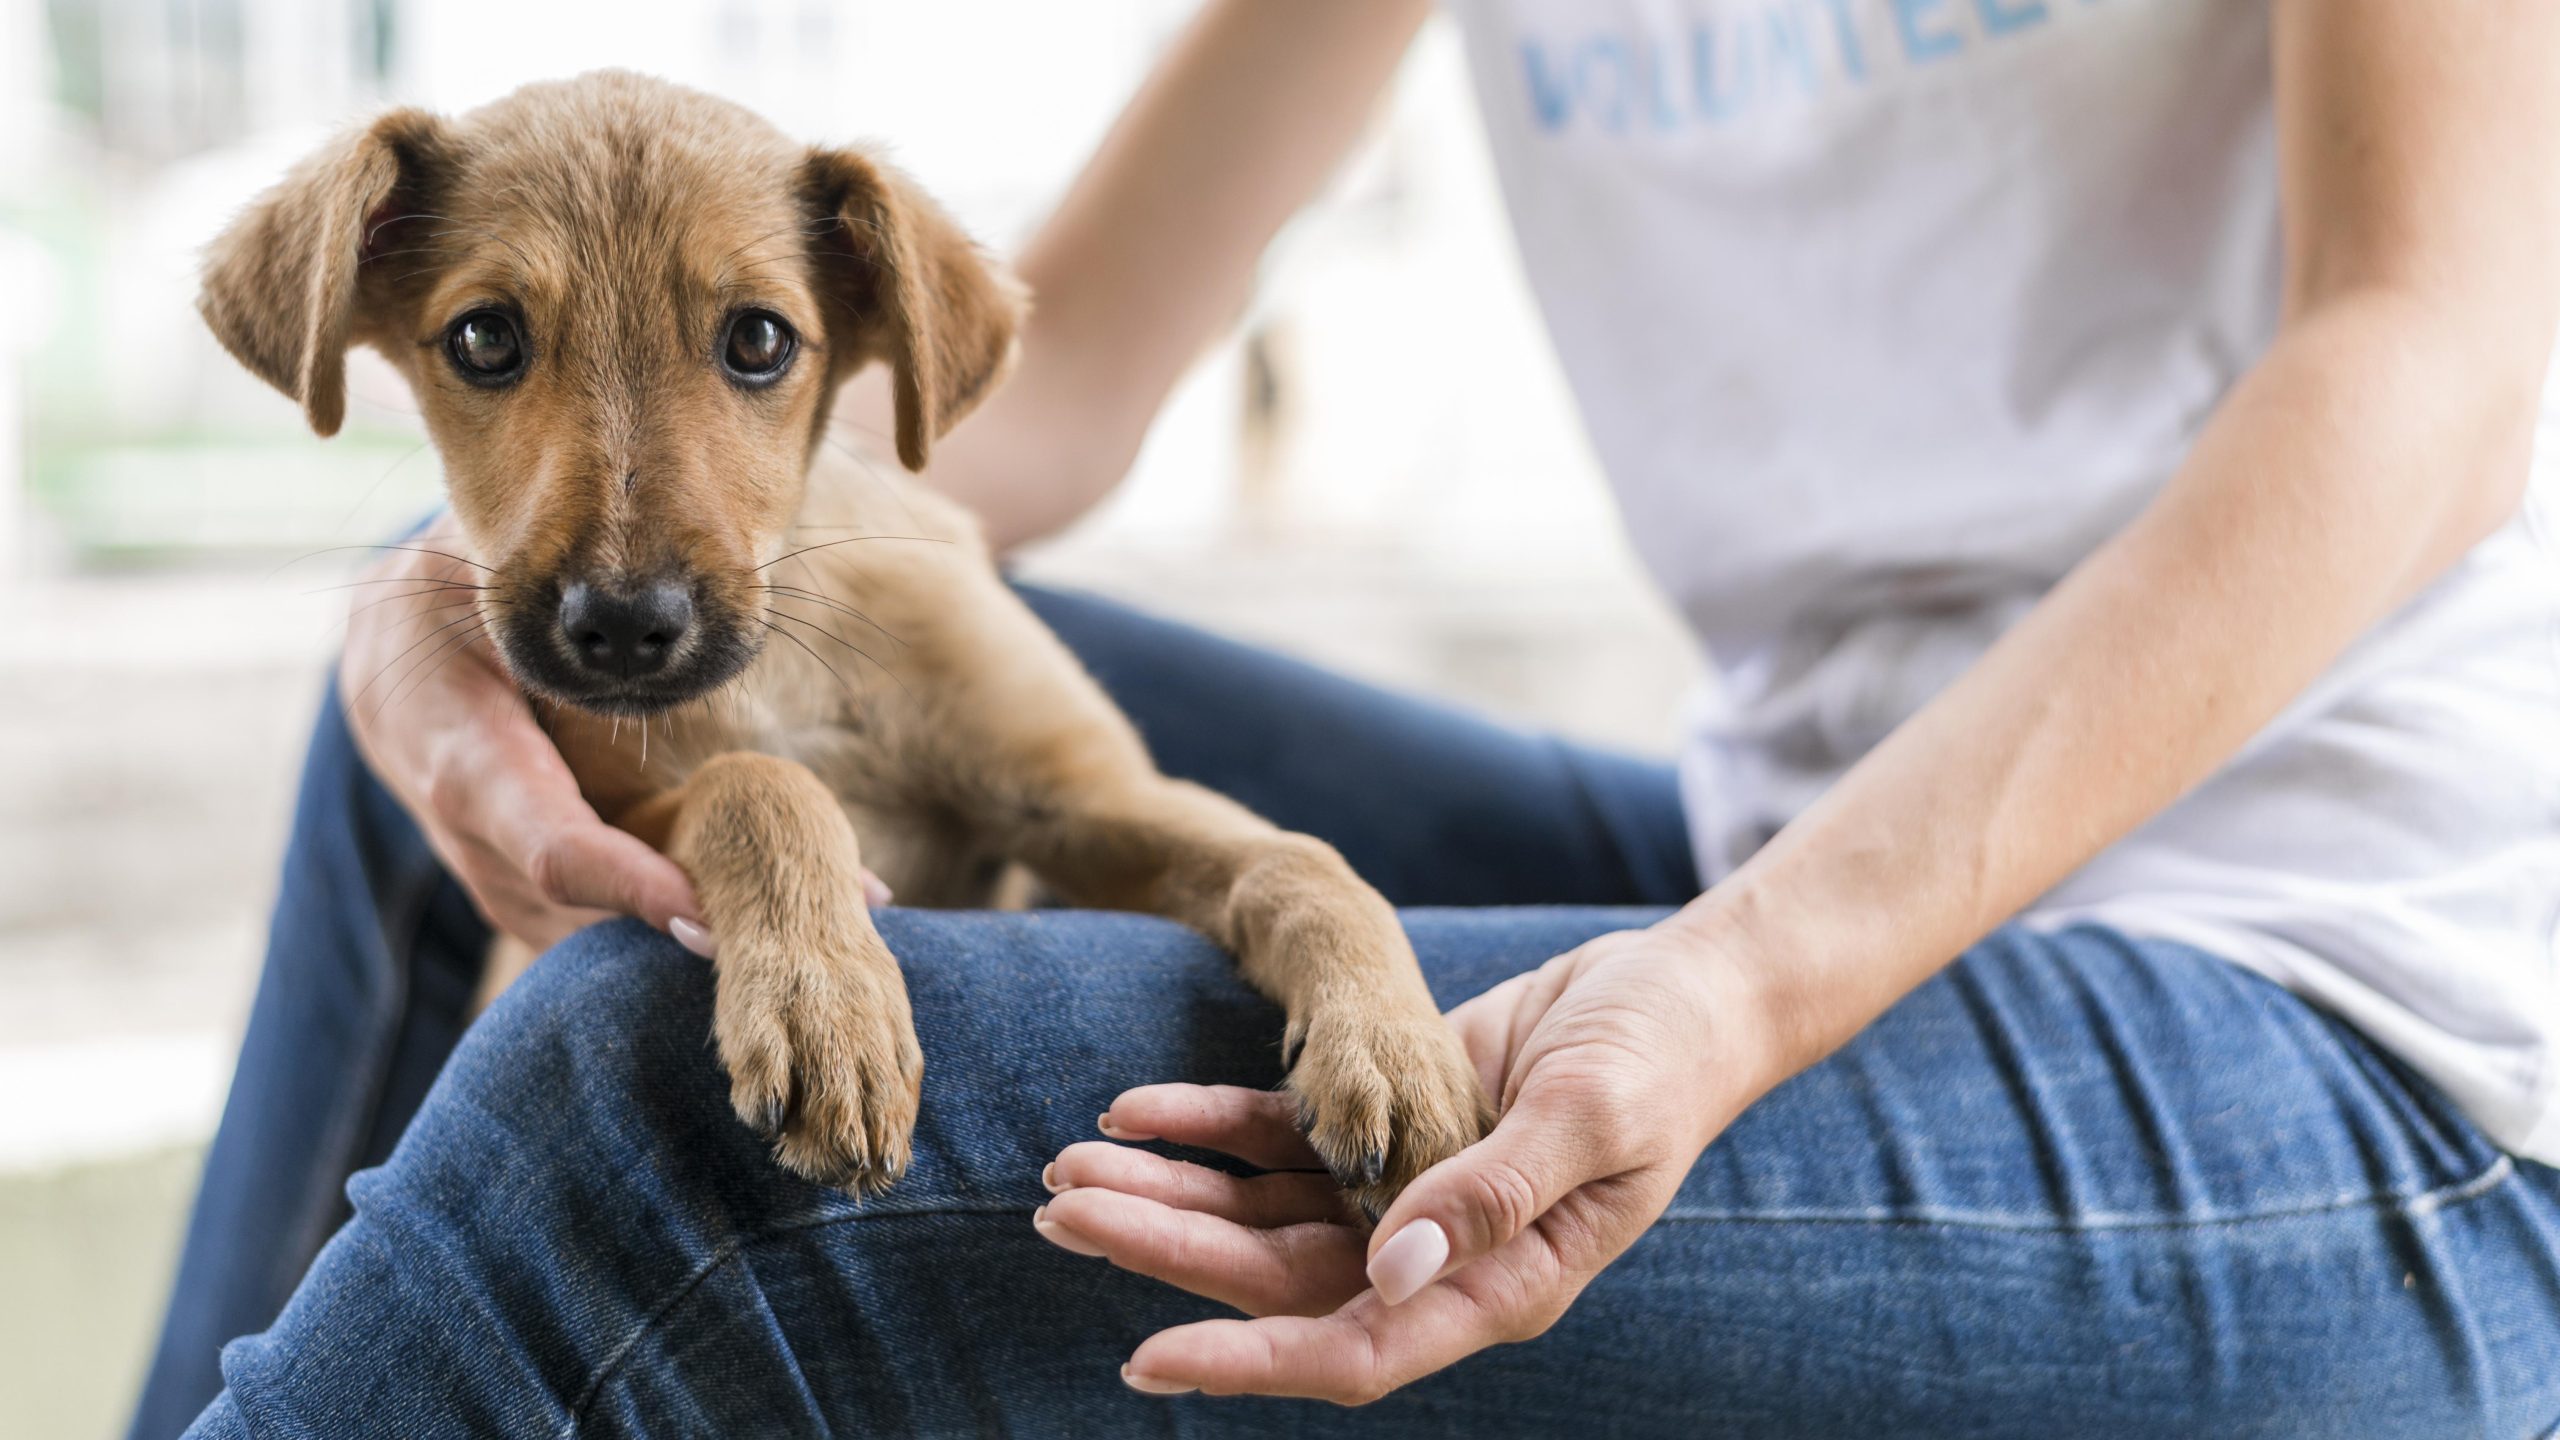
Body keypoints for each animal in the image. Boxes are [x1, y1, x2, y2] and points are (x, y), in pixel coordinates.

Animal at [204, 70, 1495, 1209]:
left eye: (760, 341)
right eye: (483, 340)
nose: (620, 628)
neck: (790, 665)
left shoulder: (1084, 800)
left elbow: (1302, 862)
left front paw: (1398, 1047)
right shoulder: (607, 824)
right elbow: (757, 783)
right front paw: (827, 1007)